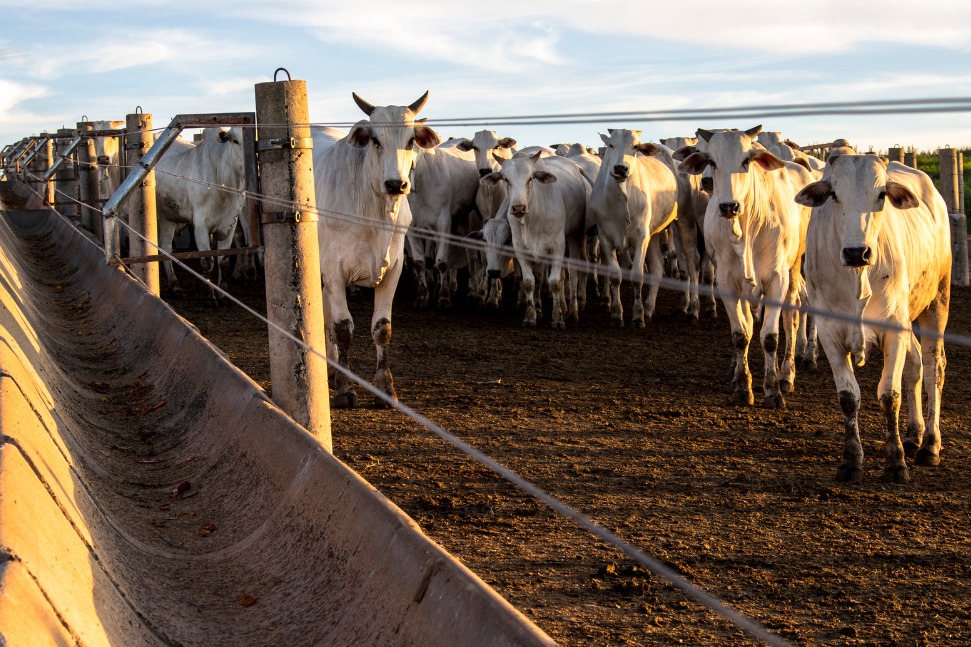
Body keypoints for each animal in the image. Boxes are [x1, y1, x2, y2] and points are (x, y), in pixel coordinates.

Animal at [156, 126, 247, 302]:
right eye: (235, 140)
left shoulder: (230, 223)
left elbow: (223, 261)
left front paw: (223, 293)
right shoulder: (200, 225)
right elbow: (207, 262)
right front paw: (210, 296)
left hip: (169, 217)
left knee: (166, 248)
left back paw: (174, 286)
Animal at [480, 153, 588, 330]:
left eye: (530, 178)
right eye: (505, 179)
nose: (518, 208)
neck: (533, 217)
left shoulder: (558, 247)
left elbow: (555, 282)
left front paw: (557, 318)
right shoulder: (521, 250)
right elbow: (530, 281)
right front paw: (531, 315)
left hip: (576, 237)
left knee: (573, 275)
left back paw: (572, 311)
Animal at [588, 128, 680, 326]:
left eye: (635, 146)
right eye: (611, 144)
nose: (620, 168)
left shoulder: (641, 236)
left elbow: (637, 276)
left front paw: (638, 315)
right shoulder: (605, 237)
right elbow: (615, 276)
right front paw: (617, 314)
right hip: (654, 234)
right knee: (657, 267)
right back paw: (650, 308)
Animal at [680, 125, 816, 410]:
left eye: (746, 160)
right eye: (711, 161)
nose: (729, 206)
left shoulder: (777, 279)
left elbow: (771, 337)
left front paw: (773, 390)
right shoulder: (726, 281)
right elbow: (741, 333)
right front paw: (743, 386)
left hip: (794, 268)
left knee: (791, 318)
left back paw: (787, 375)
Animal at [796, 154, 948, 484]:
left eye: (881, 195)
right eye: (834, 194)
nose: (857, 252)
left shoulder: (894, 329)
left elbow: (889, 395)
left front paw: (895, 463)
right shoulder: (830, 333)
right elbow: (848, 397)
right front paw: (851, 461)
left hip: (936, 301)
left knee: (934, 367)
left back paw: (930, 445)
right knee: (915, 365)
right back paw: (913, 436)